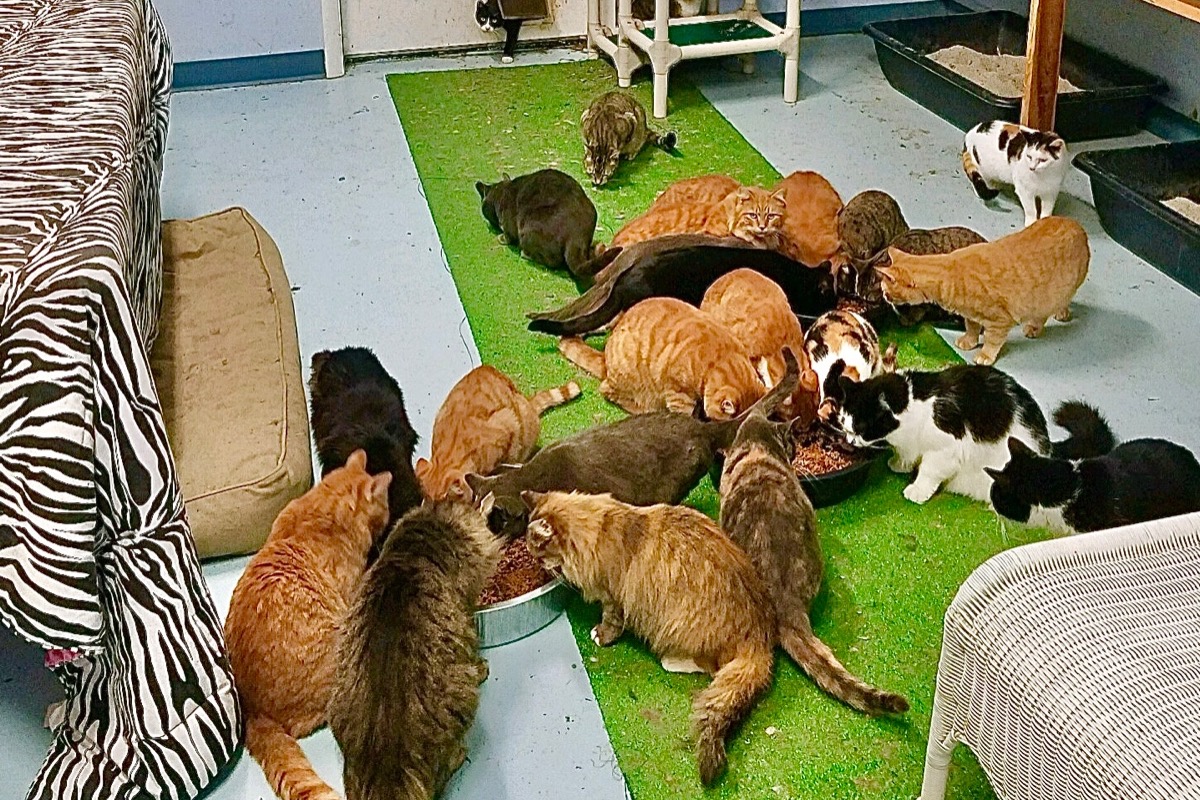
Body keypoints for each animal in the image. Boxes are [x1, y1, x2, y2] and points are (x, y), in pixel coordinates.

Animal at [522, 490, 777, 785]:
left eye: (537, 551)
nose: (535, 562)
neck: (598, 530)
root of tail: (759, 636)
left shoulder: (613, 598)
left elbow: (610, 621)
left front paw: (601, 635)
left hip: (678, 625)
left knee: (710, 668)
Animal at [829, 364, 1109, 505]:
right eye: (843, 423)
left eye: (861, 429)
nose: (850, 440)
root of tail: (1048, 447)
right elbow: (907, 456)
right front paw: (899, 464)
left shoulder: (945, 449)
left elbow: (928, 471)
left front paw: (916, 491)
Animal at [876, 216, 1089, 365]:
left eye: (886, 292)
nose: (885, 298)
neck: (950, 271)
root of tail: (1077, 225)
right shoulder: (971, 315)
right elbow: (972, 329)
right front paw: (969, 342)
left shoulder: (1000, 322)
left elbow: (991, 341)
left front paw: (985, 355)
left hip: (1056, 293)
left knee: (1060, 304)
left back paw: (1056, 316)